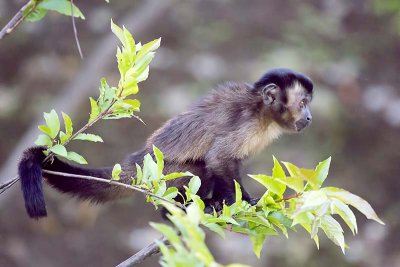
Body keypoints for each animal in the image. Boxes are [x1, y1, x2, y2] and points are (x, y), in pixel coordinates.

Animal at [18, 68, 312, 219]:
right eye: (303, 103)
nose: (309, 116)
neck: (263, 112)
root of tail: (137, 161)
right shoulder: (247, 123)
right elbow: (218, 159)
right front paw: (243, 202)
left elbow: (227, 163)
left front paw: (224, 201)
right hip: (162, 176)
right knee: (199, 167)